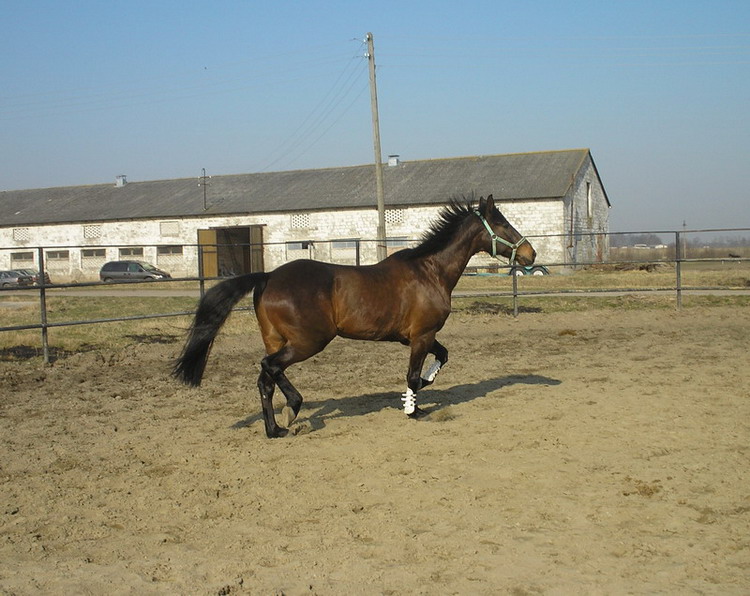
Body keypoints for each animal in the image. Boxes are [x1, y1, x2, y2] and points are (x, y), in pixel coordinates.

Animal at [172, 194, 536, 438]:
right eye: (503, 223)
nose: (530, 254)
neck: (430, 271)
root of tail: (269, 276)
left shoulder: (419, 336)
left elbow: (442, 358)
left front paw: (423, 389)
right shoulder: (421, 335)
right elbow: (413, 376)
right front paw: (412, 408)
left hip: (276, 339)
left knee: (265, 380)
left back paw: (275, 429)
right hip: (308, 342)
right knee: (270, 368)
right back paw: (293, 409)